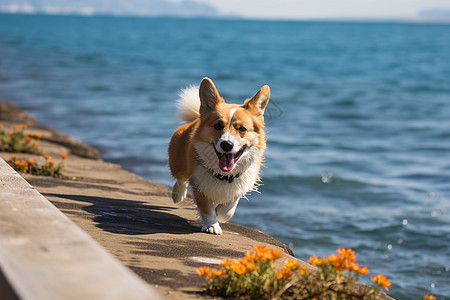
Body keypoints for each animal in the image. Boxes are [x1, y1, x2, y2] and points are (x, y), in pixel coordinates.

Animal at [167, 77, 268, 234]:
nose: (227, 145)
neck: (224, 175)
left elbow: (229, 206)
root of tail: (196, 119)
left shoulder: (240, 185)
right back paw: (178, 194)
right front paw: (212, 225)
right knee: (181, 178)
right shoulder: (199, 186)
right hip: (177, 162)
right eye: (218, 126)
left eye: (242, 129)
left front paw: (221, 213)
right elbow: (207, 209)